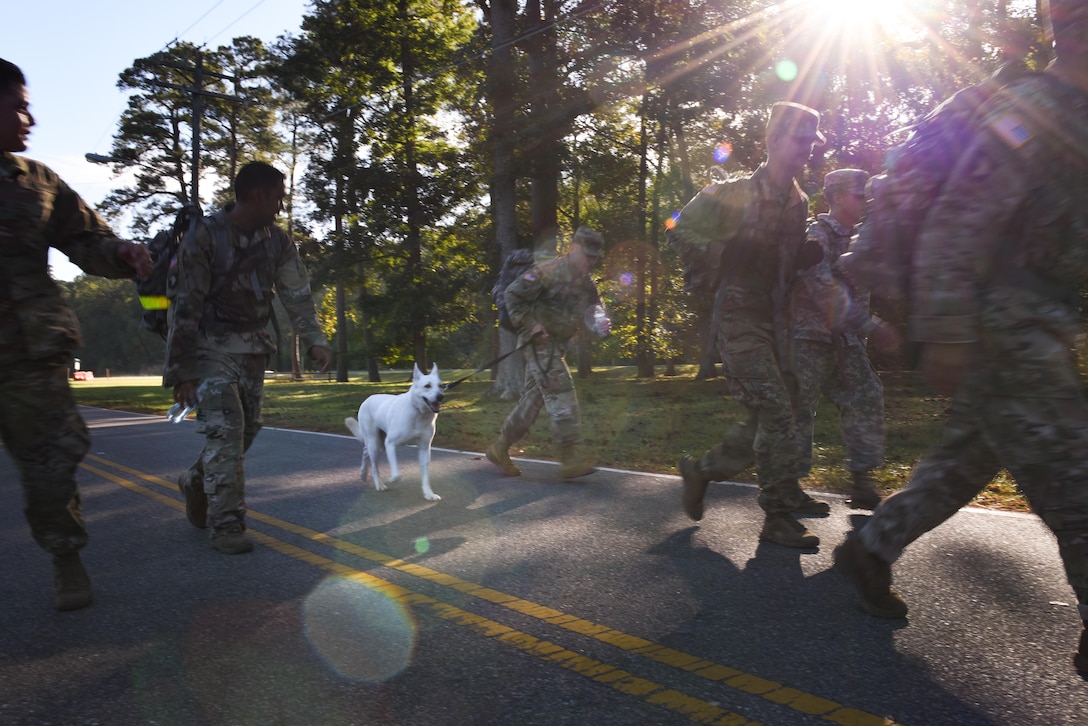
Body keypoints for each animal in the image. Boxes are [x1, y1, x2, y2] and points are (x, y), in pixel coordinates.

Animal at [341, 361, 439, 500]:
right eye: (427, 386)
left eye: (441, 386)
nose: (440, 396)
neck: (419, 413)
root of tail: (367, 399)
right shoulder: (390, 444)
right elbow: (397, 474)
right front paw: (391, 479)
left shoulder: (424, 448)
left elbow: (425, 476)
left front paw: (428, 493)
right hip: (376, 443)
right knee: (374, 465)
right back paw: (379, 484)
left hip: (380, 445)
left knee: (365, 452)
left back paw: (363, 473)